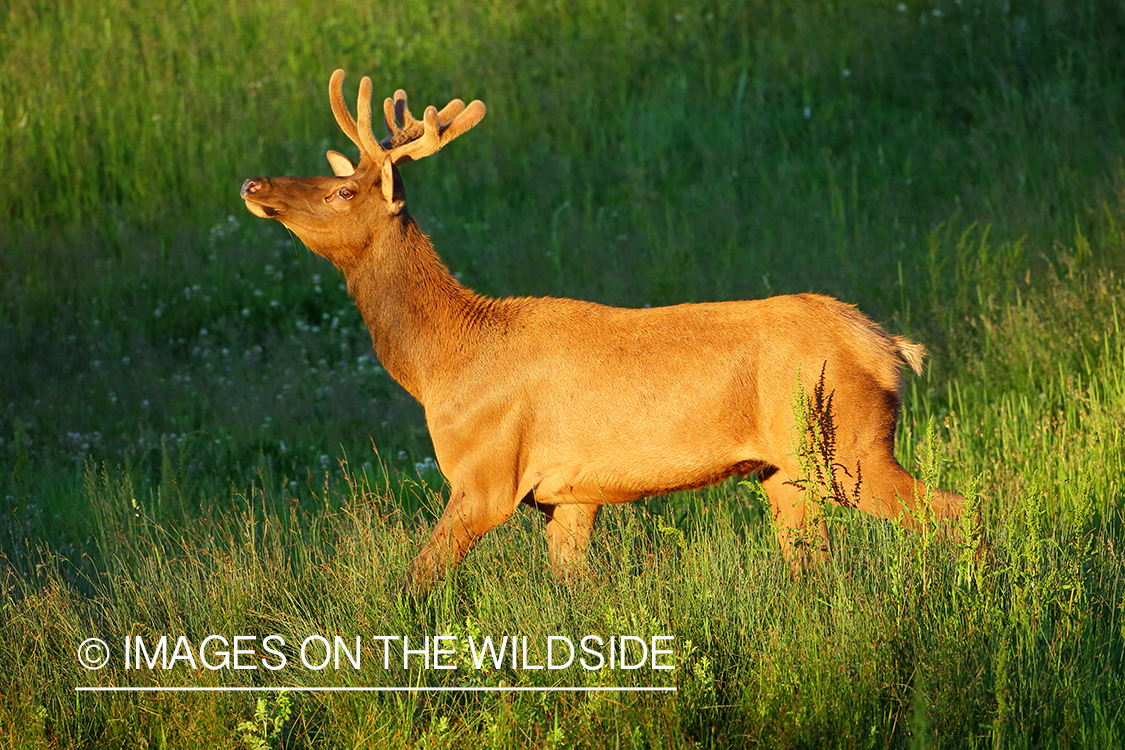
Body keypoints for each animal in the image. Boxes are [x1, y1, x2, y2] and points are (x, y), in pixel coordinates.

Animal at [241, 68, 963, 593]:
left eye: (342, 191)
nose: (252, 182)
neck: (443, 361)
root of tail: (888, 348)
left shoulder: (485, 474)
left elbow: (415, 582)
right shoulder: (567, 496)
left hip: (850, 446)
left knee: (958, 512)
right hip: (786, 469)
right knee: (811, 562)